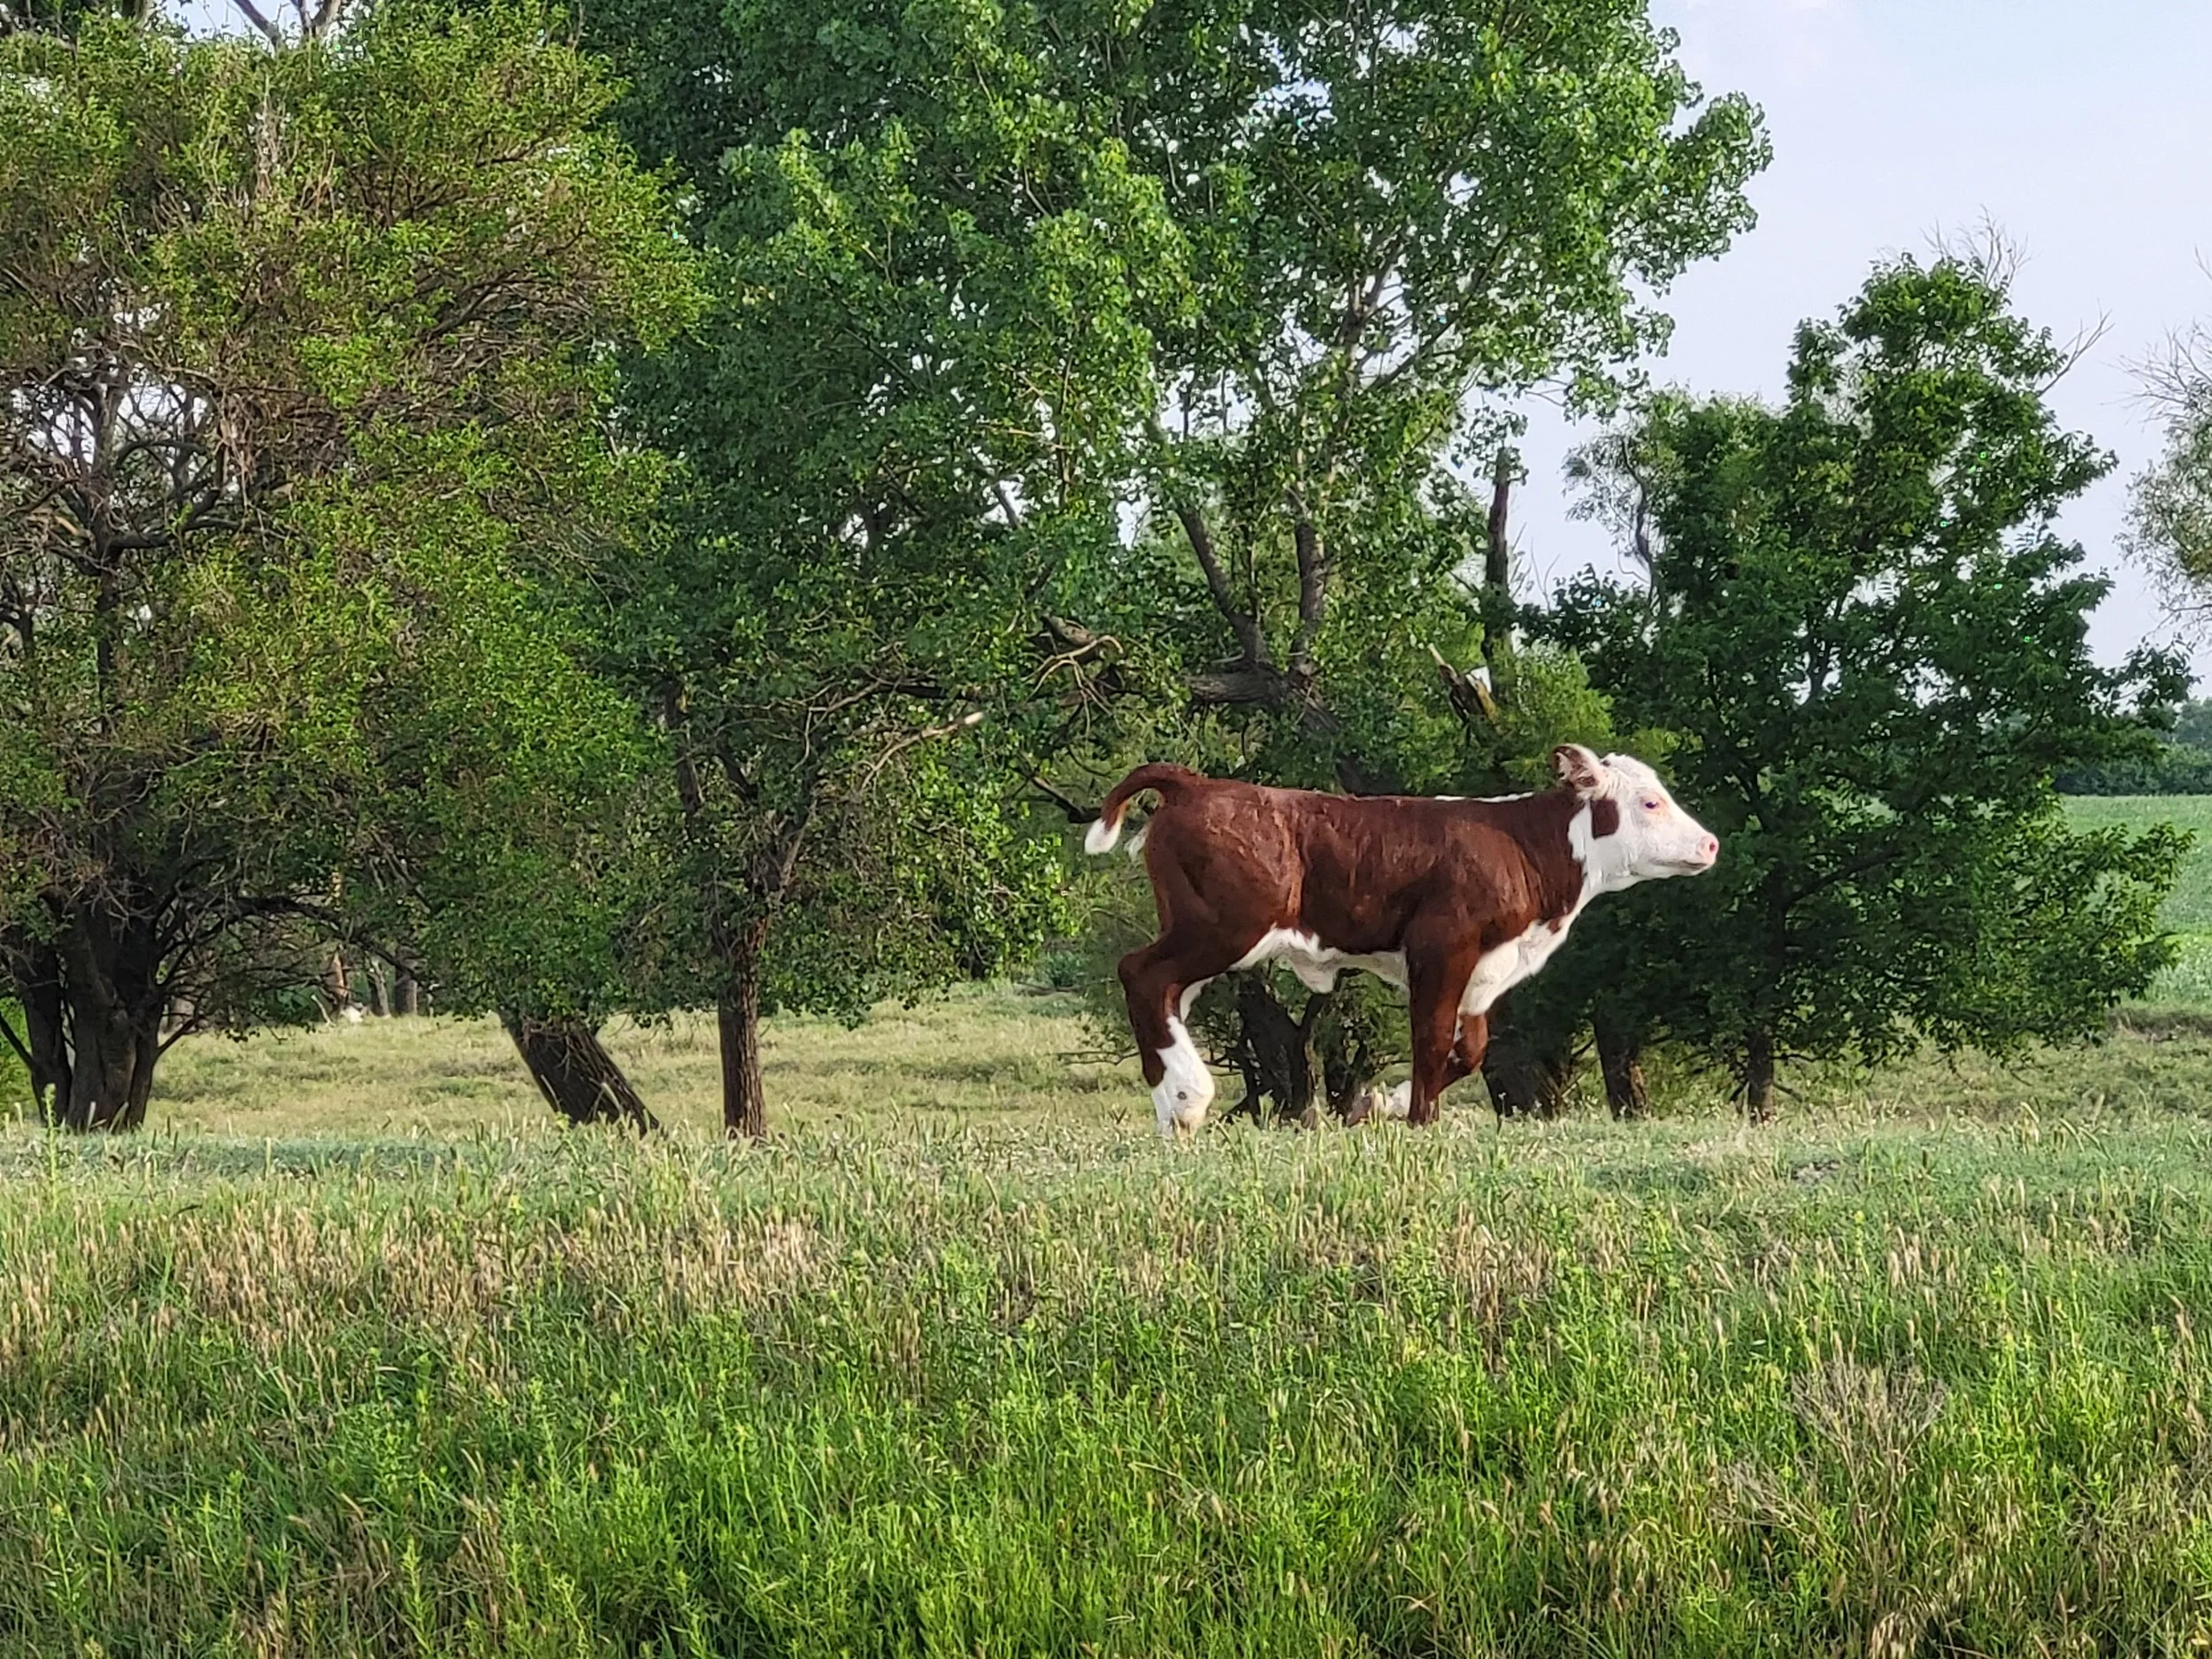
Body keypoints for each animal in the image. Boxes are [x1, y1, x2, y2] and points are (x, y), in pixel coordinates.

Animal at [1084, 744, 1718, 1136]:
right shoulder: (1441, 945)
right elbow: (1432, 1037)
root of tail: (1198, 785)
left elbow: (1472, 1048)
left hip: (1201, 931)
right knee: (1142, 974)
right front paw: (1419, 1121)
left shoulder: (1483, 970)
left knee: (1166, 996)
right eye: (1650, 802)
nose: (1710, 844)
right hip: (1223, 927)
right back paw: (1187, 1101)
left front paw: (1379, 1104)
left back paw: (1173, 1103)